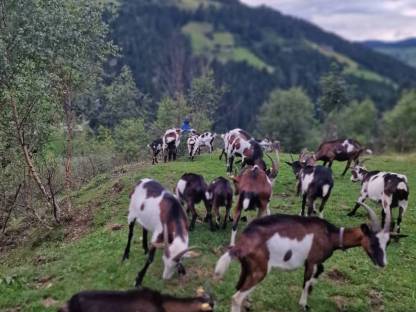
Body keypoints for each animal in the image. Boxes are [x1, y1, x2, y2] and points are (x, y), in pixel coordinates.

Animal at [216, 205, 392, 312]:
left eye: (387, 242)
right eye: (373, 241)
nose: (383, 263)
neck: (330, 235)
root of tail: (242, 244)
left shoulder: (318, 263)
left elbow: (315, 279)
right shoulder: (312, 260)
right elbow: (306, 282)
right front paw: (303, 304)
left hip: (248, 266)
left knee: (239, 286)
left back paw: (248, 302)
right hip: (260, 269)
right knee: (236, 298)